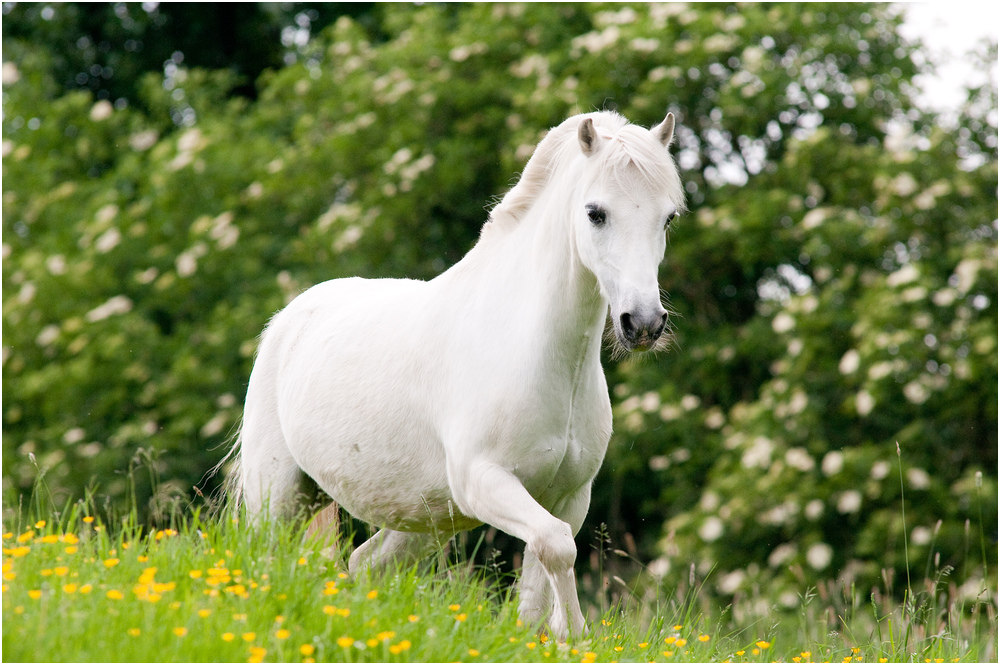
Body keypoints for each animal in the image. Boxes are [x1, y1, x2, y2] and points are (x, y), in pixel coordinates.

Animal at [233, 110, 684, 640]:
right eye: (596, 213)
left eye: (667, 217)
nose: (644, 323)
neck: (531, 350)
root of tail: (289, 319)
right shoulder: (484, 481)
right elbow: (557, 548)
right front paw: (576, 634)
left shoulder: (567, 498)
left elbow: (542, 578)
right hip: (278, 498)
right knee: (264, 556)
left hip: (424, 520)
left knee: (365, 565)